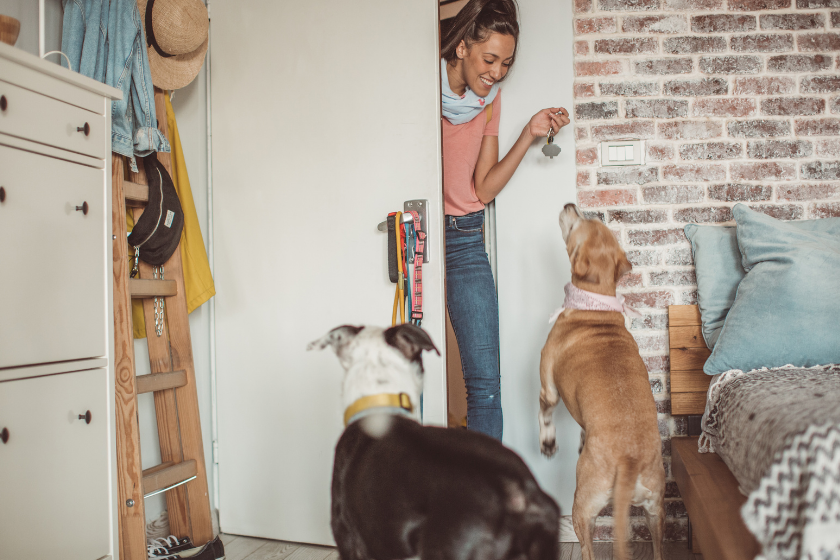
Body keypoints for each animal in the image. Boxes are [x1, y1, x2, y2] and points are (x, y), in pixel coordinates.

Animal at [540, 203, 668, 560]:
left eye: (579, 222)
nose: (570, 204)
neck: (595, 305)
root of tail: (629, 459)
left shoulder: (548, 384)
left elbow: (546, 412)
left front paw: (548, 443)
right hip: (655, 510)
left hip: (583, 507)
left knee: (587, 548)